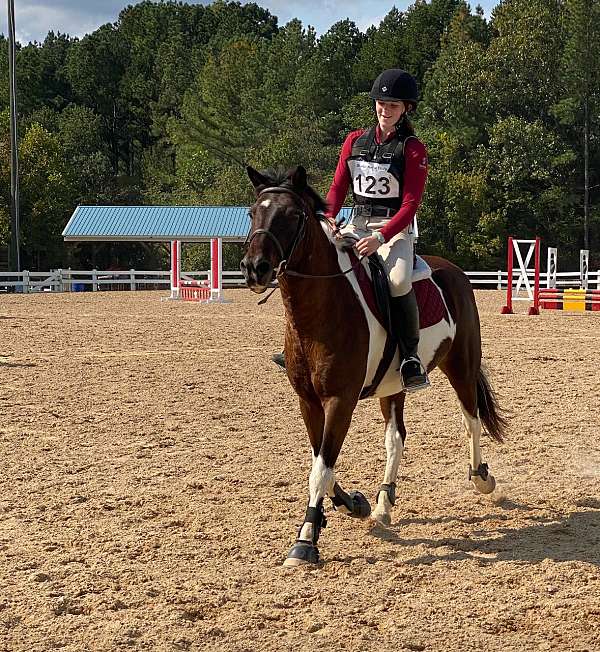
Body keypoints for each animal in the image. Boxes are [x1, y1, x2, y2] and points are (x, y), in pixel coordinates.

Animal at [239, 166, 506, 568]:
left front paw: (305, 540)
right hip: (394, 386)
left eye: (291, 215)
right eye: (253, 212)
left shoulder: (340, 401)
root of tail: (452, 270)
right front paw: (354, 504)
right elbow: (322, 461)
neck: (319, 312)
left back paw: (481, 478)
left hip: (461, 365)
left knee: (471, 420)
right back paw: (383, 503)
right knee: (396, 437)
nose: (255, 268)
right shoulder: (309, 402)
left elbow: (321, 468)